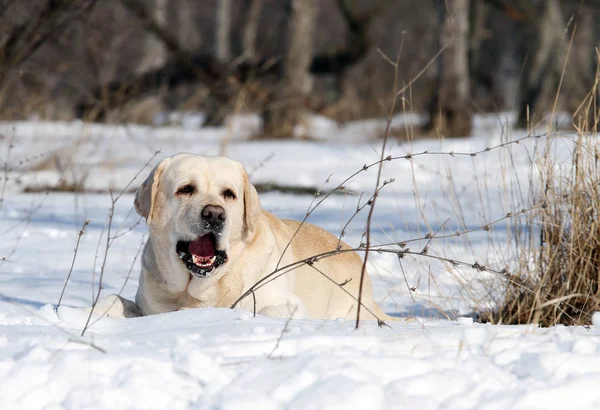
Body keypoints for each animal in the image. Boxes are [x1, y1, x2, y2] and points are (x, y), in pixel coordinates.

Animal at [92, 152, 394, 322]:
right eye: (185, 189)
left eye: (229, 194)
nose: (214, 215)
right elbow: (113, 300)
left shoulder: (287, 305)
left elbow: (260, 310)